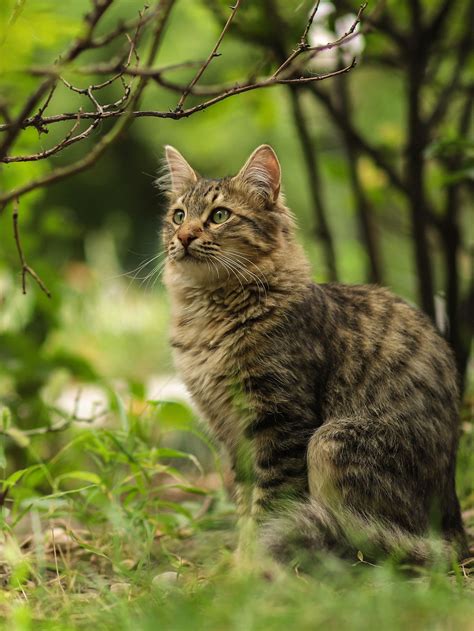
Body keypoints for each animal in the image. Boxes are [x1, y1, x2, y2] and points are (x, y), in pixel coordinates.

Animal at [160, 144, 466, 568]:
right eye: (178, 216)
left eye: (219, 216)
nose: (185, 236)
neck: (209, 315)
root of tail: (456, 529)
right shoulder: (231, 431)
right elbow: (245, 503)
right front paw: (239, 559)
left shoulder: (281, 422)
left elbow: (269, 506)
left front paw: (251, 566)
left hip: (329, 443)